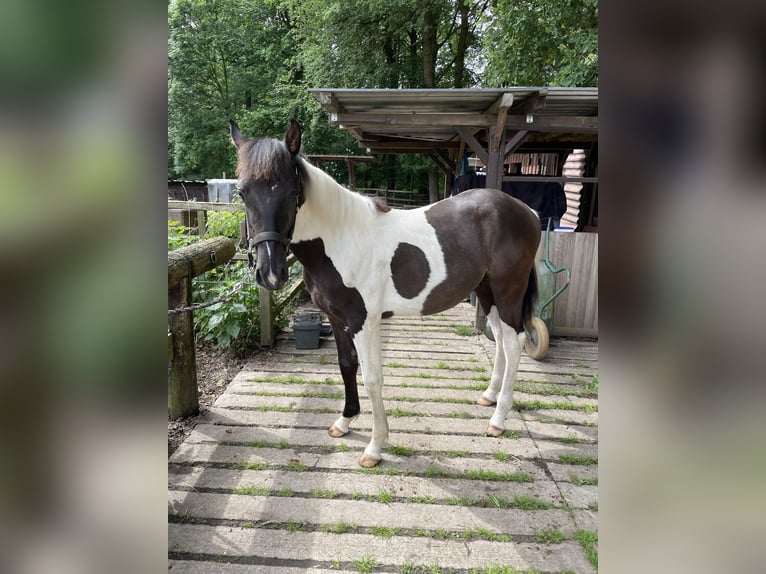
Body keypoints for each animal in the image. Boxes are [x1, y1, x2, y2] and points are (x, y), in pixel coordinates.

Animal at [228, 120, 540, 468]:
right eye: (242, 192)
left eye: (293, 192)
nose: (270, 274)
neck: (341, 238)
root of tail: (527, 211)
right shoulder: (336, 318)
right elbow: (346, 365)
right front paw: (344, 421)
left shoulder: (364, 321)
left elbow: (372, 377)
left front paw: (375, 447)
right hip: (487, 291)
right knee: (499, 337)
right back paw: (489, 397)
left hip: (508, 291)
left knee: (514, 343)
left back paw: (498, 420)